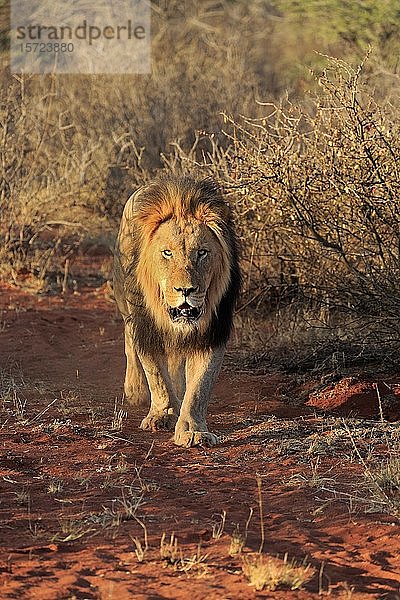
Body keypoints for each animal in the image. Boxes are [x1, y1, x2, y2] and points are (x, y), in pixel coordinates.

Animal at [111, 173, 241, 446]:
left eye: (202, 253)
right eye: (167, 253)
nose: (186, 290)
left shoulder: (212, 332)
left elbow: (200, 385)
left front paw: (192, 429)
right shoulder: (146, 326)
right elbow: (156, 375)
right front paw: (163, 415)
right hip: (123, 298)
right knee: (129, 339)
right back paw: (135, 390)